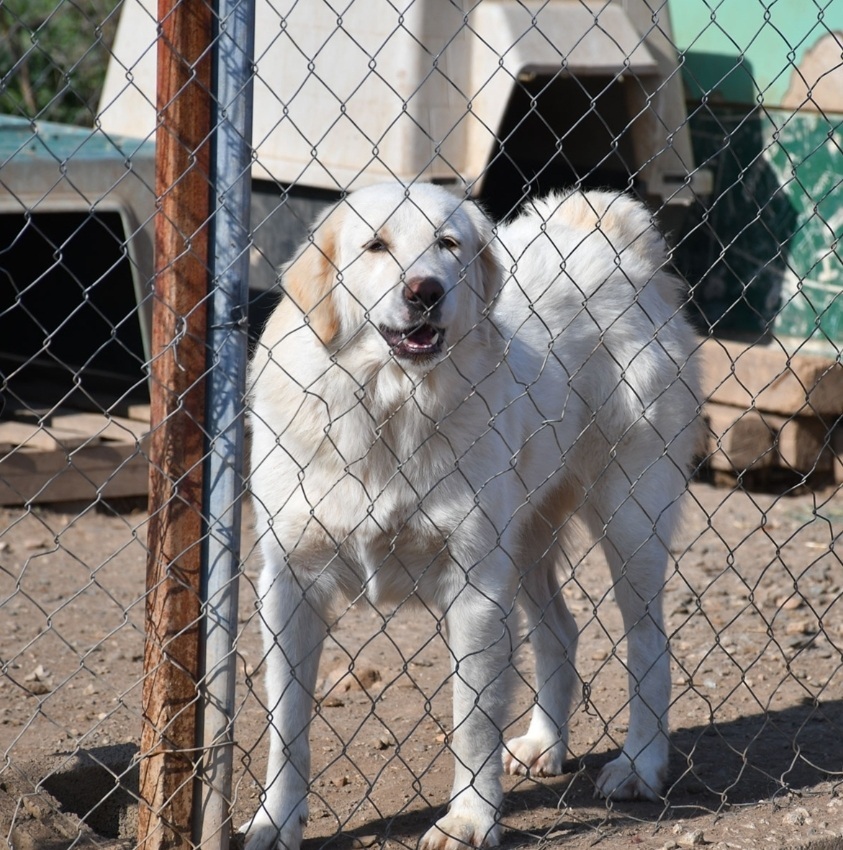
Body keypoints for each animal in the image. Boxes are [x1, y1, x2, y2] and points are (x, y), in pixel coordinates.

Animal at [243, 182, 701, 850]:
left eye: (447, 244)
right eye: (376, 245)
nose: (425, 291)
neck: (391, 407)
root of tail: (611, 237)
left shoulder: (477, 591)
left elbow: (474, 722)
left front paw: (469, 820)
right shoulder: (289, 588)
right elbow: (286, 727)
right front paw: (275, 821)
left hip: (629, 524)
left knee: (650, 646)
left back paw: (640, 765)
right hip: (527, 541)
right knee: (561, 631)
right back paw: (544, 745)